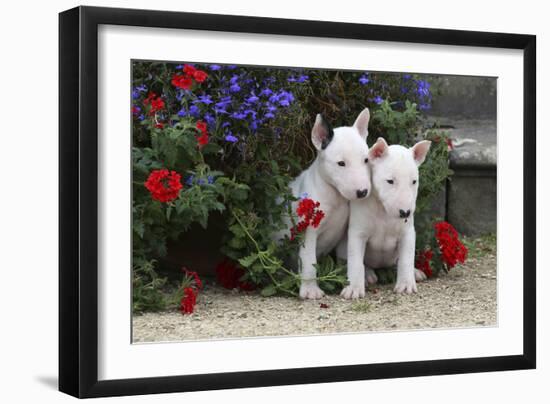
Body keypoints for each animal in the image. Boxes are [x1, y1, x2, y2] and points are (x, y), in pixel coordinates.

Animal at [286, 109, 374, 298]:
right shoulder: (308, 232)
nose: (362, 192)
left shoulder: (344, 233)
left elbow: (346, 257)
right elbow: (308, 261)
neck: (336, 195)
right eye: (341, 163)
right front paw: (310, 290)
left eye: (366, 160)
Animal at [340, 137, 436, 298]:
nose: (405, 213)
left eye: (414, 181)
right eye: (390, 181)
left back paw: (415, 273)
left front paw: (406, 284)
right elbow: (355, 261)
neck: (384, 211)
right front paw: (354, 288)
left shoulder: (407, 233)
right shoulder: (357, 233)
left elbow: (406, 259)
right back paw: (368, 275)